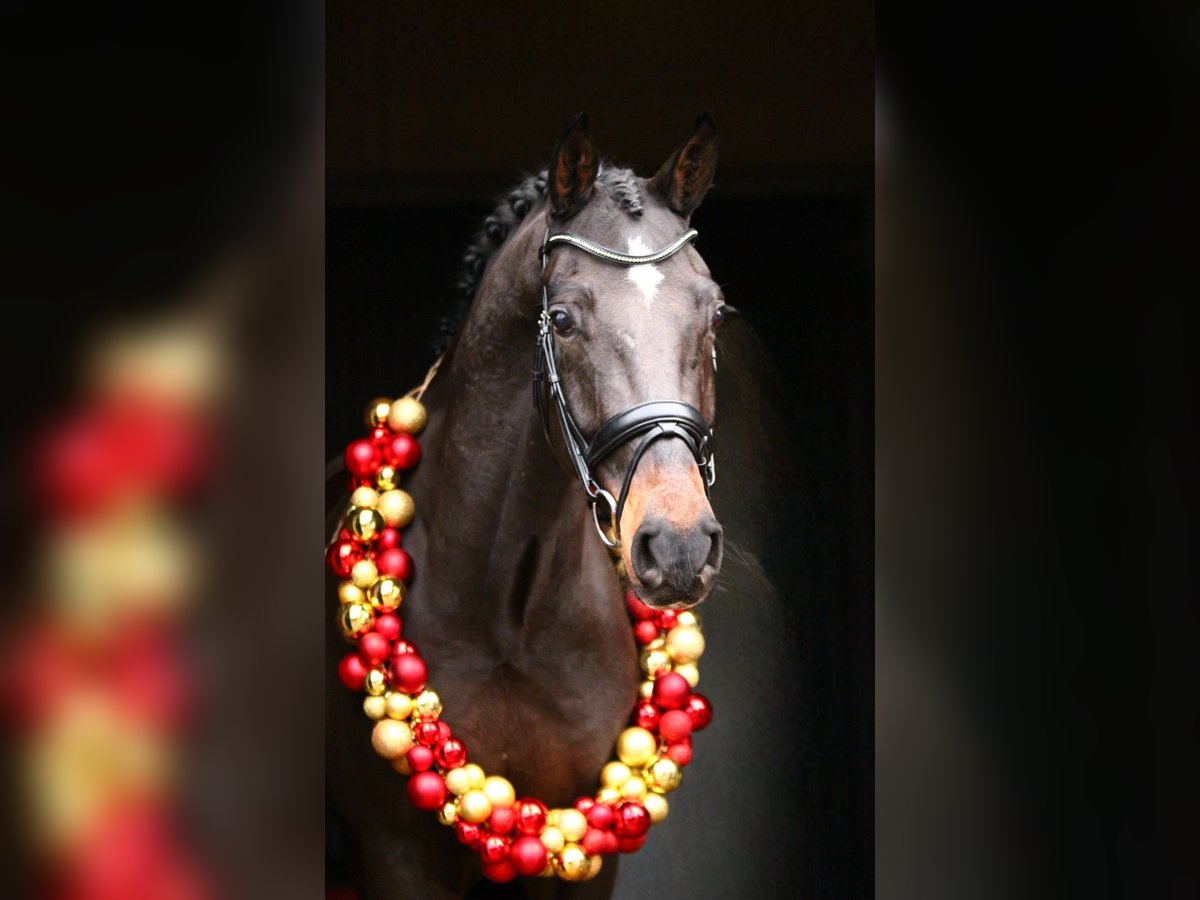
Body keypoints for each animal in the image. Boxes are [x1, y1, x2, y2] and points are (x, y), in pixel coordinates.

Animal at [327, 114, 807, 898]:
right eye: (562, 318)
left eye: (713, 311)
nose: (678, 547)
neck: (506, 614)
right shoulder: (395, 853)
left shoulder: (586, 857)